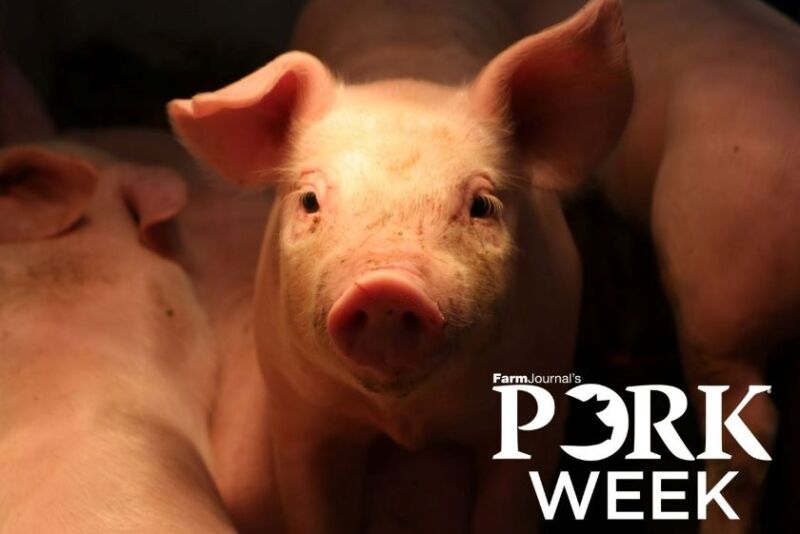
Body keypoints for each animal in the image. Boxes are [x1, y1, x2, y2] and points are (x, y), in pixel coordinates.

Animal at [168, 0, 633, 532]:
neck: (409, 422)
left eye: (481, 205)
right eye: (309, 201)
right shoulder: (299, 413)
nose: (385, 288)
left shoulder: (537, 393)